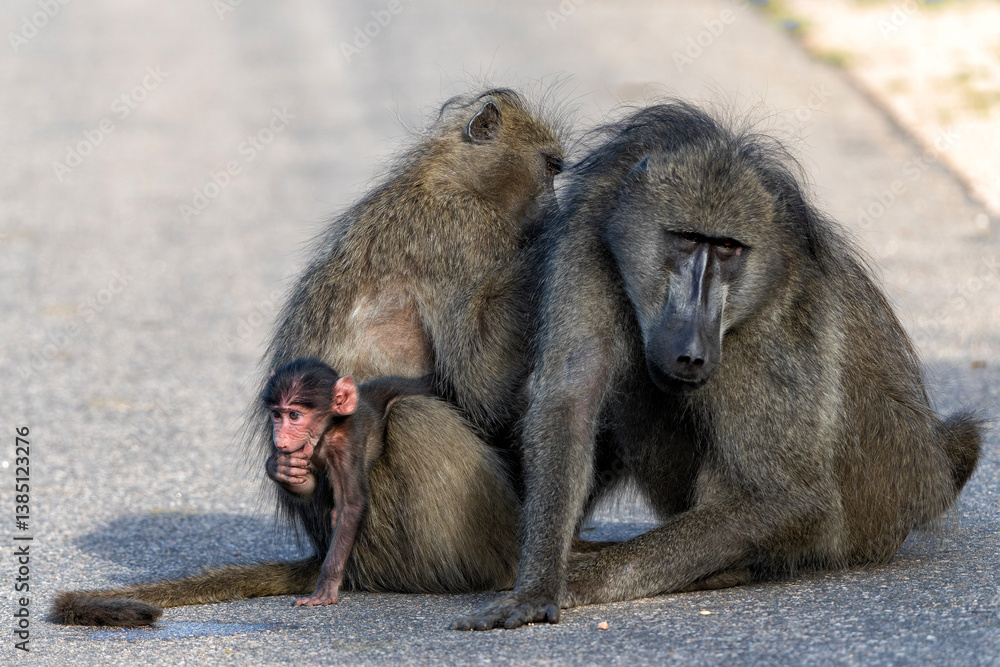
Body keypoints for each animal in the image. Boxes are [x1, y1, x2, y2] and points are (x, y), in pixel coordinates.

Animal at [50, 87, 565, 626]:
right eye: (551, 166)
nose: (553, 207)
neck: (449, 175)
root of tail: (326, 553)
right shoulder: (466, 237)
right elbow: (479, 384)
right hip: (382, 537)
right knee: (414, 418)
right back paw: (510, 566)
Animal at [453, 102, 983, 631]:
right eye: (686, 238)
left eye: (728, 247)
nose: (691, 349)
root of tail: (929, 471)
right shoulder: (587, 244)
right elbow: (570, 401)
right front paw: (537, 585)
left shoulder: (770, 323)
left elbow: (790, 496)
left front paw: (575, 581)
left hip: (872, 503)